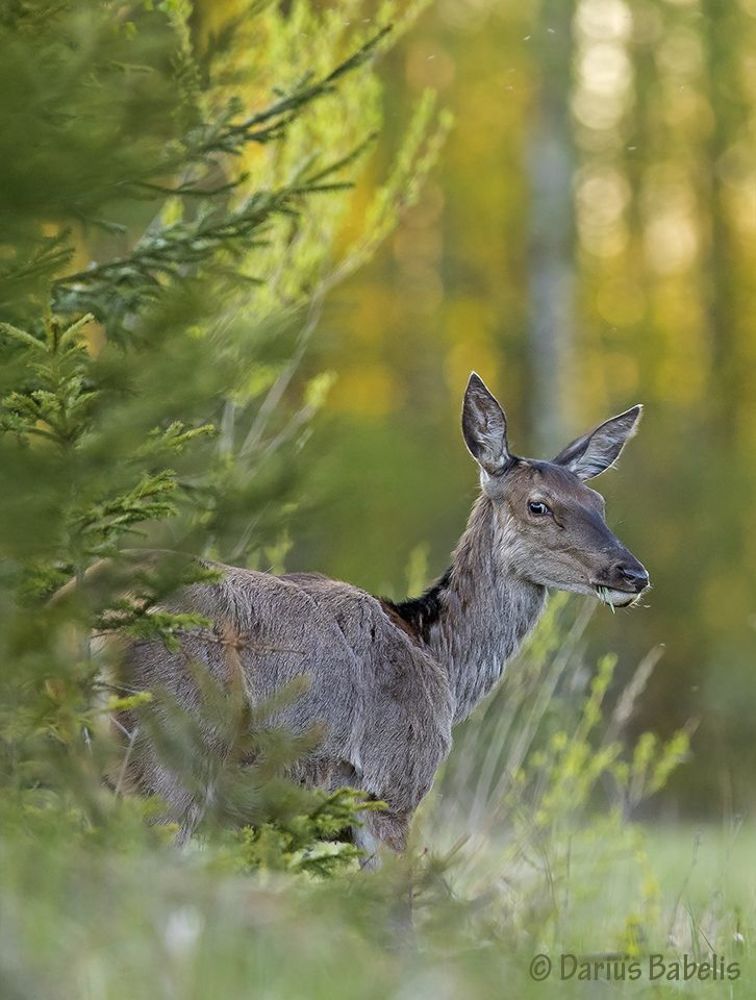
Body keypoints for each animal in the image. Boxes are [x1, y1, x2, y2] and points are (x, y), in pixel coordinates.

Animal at [112, 373, 649, 859]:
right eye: (538, 505)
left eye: (599, 502)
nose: (633, 573)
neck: (437, 659)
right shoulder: (390, 787)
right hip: (168, 752)